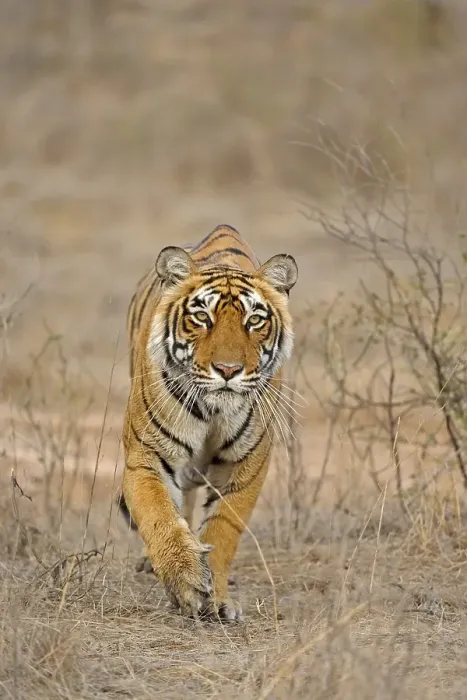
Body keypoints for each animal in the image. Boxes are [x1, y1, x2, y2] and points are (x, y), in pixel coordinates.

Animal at [119, 224, 298, 622]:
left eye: (254, 320)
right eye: (202, 317)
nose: (228, 370)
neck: (213, 411)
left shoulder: (248, 463)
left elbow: (223, 529)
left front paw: (215, 599)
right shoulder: (145, 454)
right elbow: (159, 515)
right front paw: (185, 579)